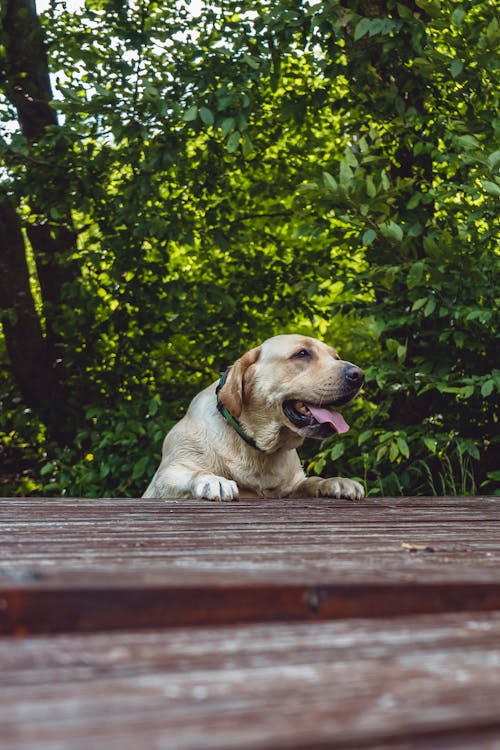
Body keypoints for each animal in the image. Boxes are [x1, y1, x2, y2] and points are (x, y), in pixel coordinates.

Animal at [143, 334, 366, 500]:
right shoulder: (166, 475)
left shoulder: (293, 485)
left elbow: (311, 481)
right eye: (302, 353)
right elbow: (195, 472)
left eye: (336, 357)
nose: (359, 375)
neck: (259, 448)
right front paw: (213, 480)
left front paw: (336, 481)